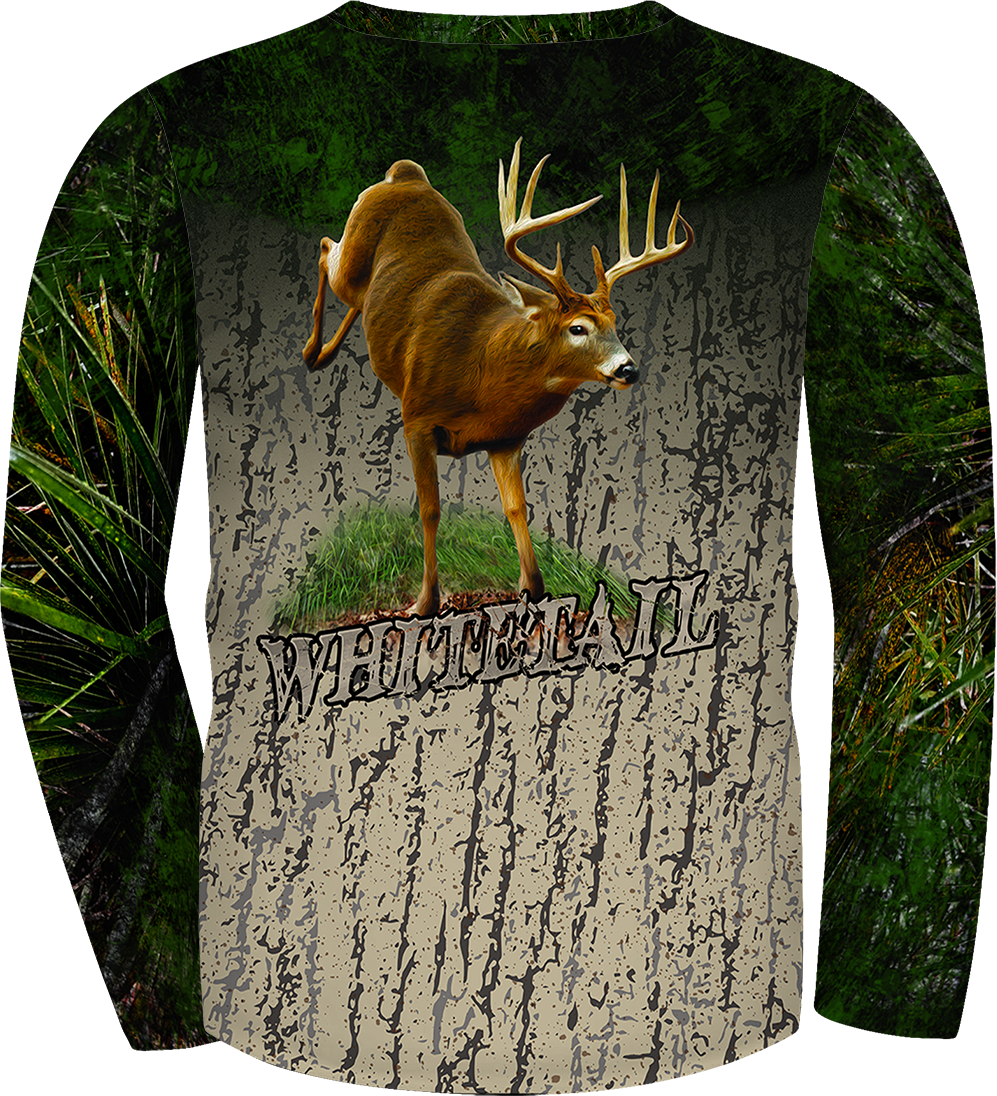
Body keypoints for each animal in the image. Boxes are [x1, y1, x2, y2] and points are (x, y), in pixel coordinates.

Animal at [303, 137, 693, 618]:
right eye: (578, 328)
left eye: (615, 323)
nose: (628, 369)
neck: (482, 369)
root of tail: (405, 172)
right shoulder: (416, 418)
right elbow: (430, 509)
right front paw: (424, 603)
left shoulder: (506, 439)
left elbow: (516, 508)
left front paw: (533, 588)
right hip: (353, 253)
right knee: (326, 248)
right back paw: (312, 351)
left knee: (354, 293)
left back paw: (325, 353)